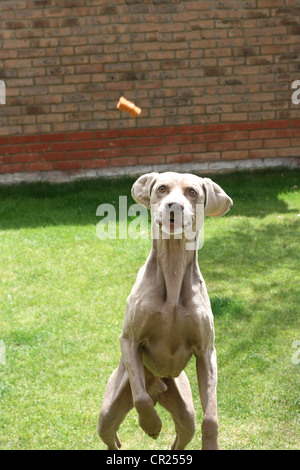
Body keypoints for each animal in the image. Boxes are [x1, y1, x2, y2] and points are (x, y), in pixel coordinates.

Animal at [97, 171, 233, 450]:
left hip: (183, 405)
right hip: (110, 405)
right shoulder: (129, 339)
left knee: (183, 433)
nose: (173, 206)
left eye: (192, 192)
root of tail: (157, 390)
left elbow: (211, 415)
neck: (172, 270)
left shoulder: (206, 352)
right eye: (162, 188)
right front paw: (151, 425)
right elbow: (140, 399)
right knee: (111, 433)